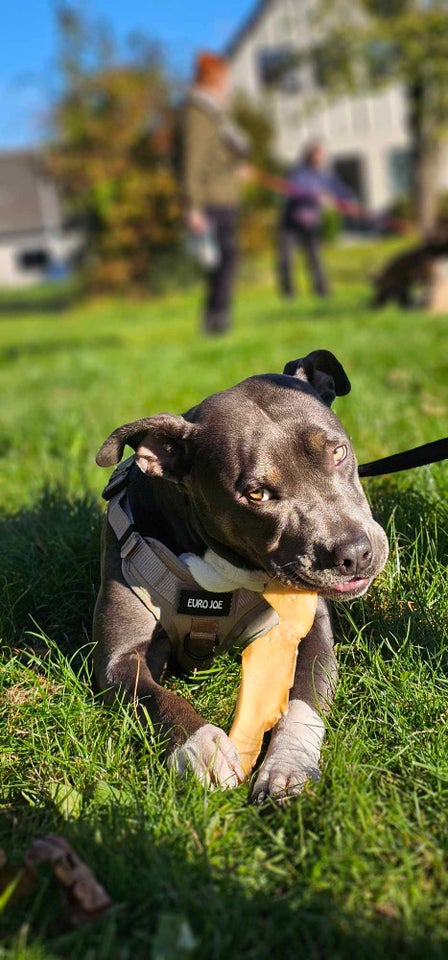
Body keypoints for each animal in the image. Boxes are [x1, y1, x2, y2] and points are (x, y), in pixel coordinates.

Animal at [93, 348, 388, 800]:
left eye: (338, 452)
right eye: (257, 494)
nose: (354, 554)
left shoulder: (311, 633)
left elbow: (302, 704)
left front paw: (287, 766)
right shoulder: (117, 659)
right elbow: (157, 699)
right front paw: (203, 749)